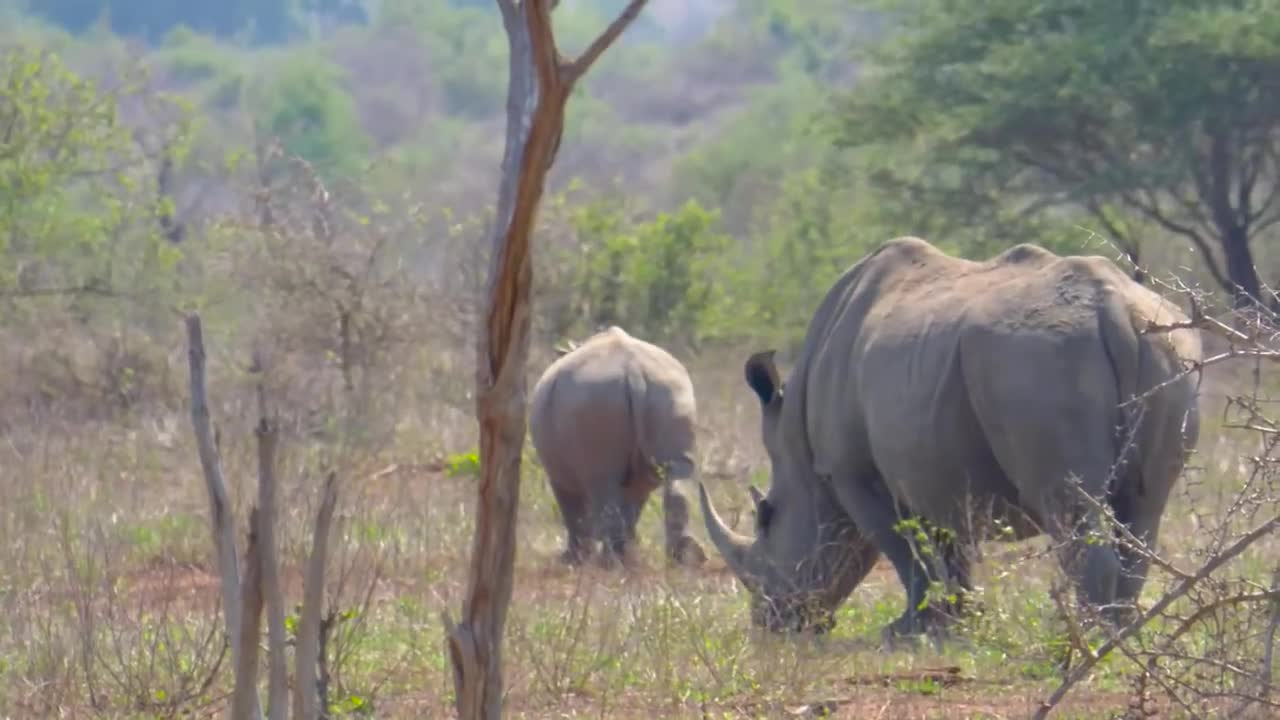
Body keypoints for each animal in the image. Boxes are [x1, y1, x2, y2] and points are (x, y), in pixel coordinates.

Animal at [529, 325, 711, 566]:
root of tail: (634, 372)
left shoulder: (557, 474)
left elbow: (572, 511)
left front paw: (573, 560)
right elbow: (633, 507)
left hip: (593, 398)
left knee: (602, 483)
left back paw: (611, 563)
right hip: (670, 390)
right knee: (678, 472)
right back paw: (682, 558)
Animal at [701, 235, 1198, 632]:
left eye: (766, 519)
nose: (770, 623)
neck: (798, 448)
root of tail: (1114, 310)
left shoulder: (851, 473)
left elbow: (903, 550)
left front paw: (907, 631)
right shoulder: (938, 461)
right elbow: (950, 548)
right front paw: (960, 622)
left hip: (1041, 359)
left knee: (1069, 501)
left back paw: (1089, 636)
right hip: (1168, 350)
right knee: (1145, 505)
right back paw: (1124, 628)